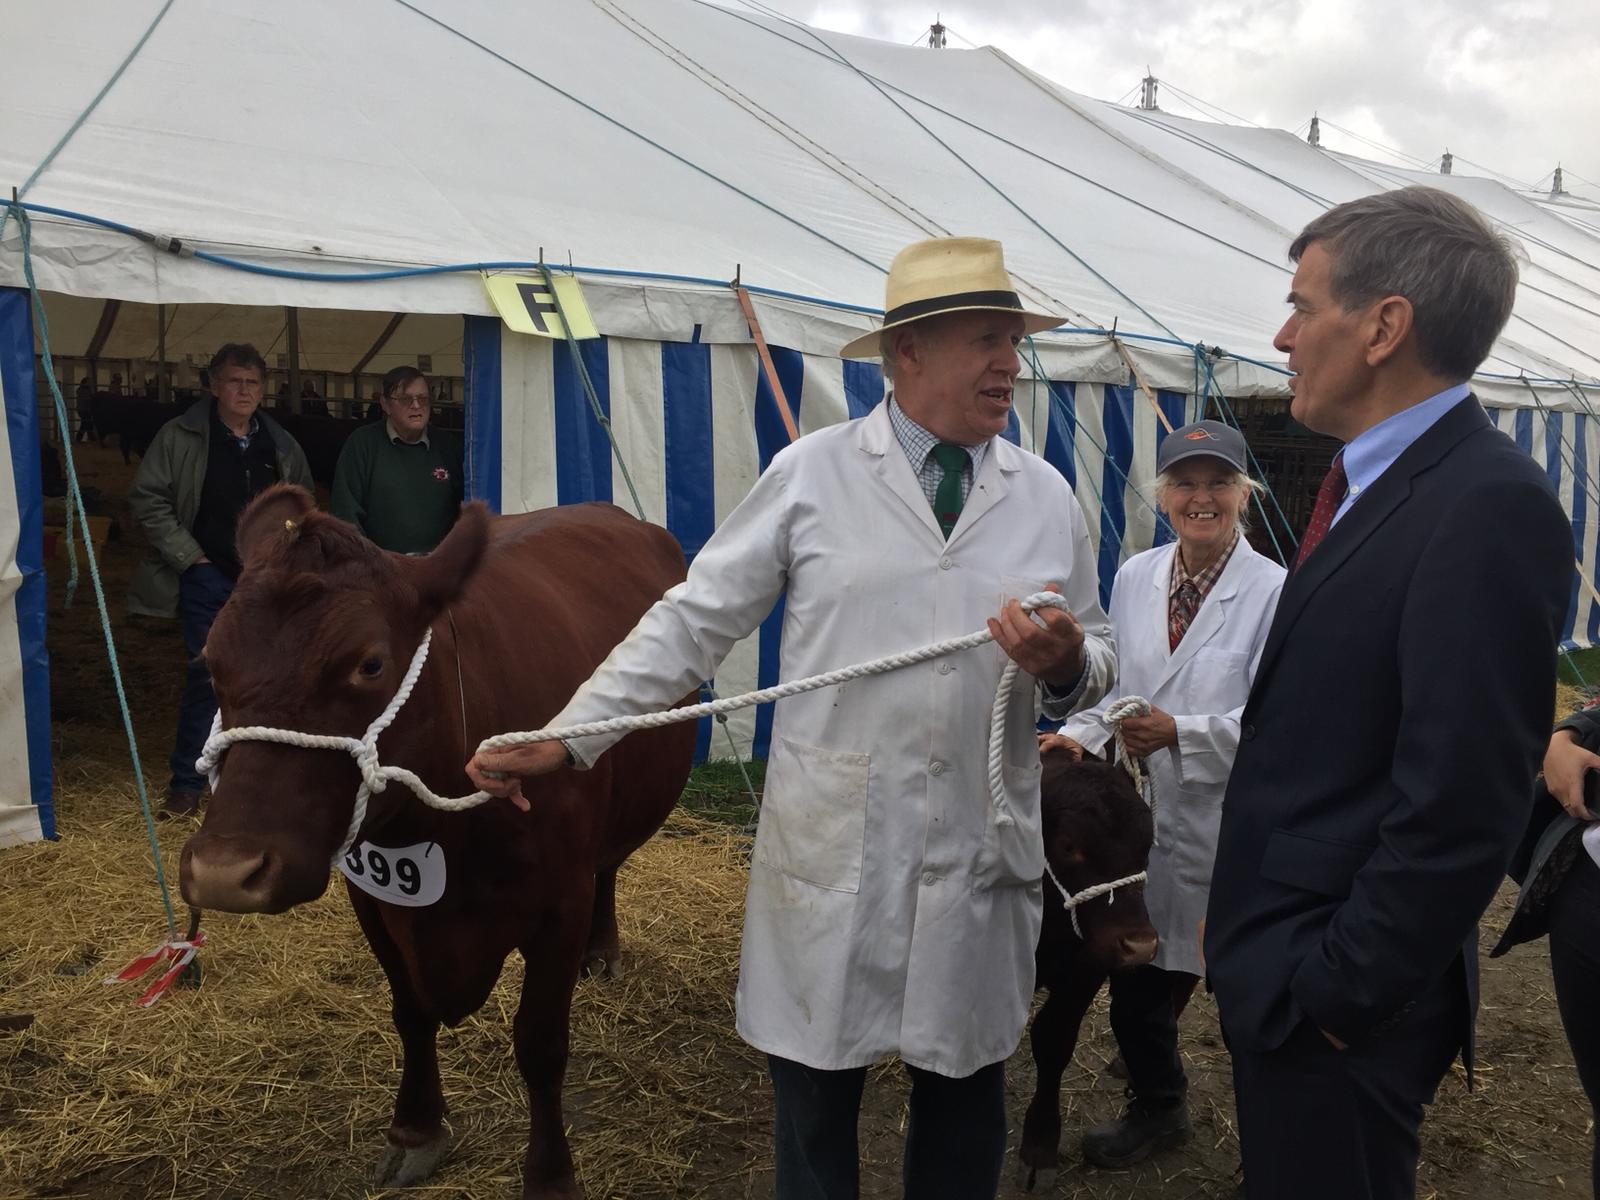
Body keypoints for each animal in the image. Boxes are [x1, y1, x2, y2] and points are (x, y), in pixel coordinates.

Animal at [178, 489, 697, 1200]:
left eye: (369, 662)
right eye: (210, 659)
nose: (225, 871)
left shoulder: (559, 905)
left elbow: (540, 1045)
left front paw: (550, 1175)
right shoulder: (375, 901)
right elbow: (411, 1014)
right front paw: (416, 1130)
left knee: (609, 866)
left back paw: (603, 947)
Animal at [1017, 752, 1158, 1196]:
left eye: (1147, 846)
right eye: (1068, 845)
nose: (1140, 945)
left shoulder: (1089, 966)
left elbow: (1053, 1041)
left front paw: (1040, 1145)